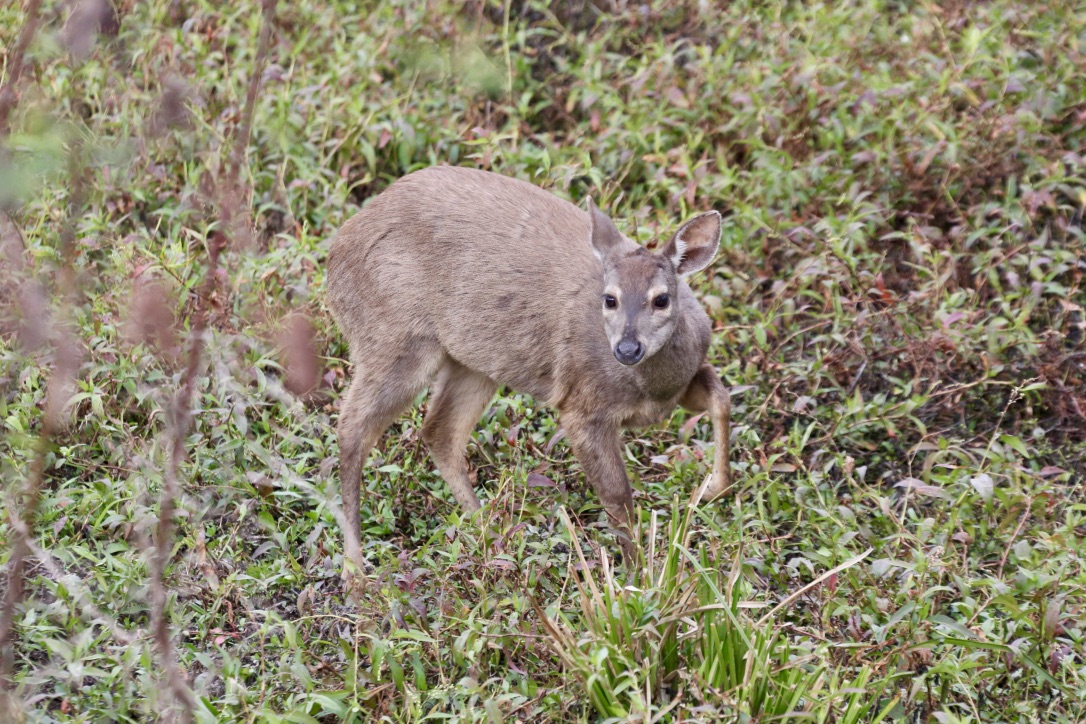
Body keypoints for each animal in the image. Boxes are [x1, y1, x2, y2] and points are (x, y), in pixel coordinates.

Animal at [325, 167, 734, 581]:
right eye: (610, 299)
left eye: (661, 298)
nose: (627, 349)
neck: (651, 389)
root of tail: (335, 255)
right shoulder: (582, 408)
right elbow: (618, 496)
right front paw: (636, 578)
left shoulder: (682, 386)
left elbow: (721, 398)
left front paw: (712, 488)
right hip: (394, 338)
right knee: (353, 429)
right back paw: (354, 568)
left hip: (475, 359)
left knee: (439, 431)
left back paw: (492, 535)